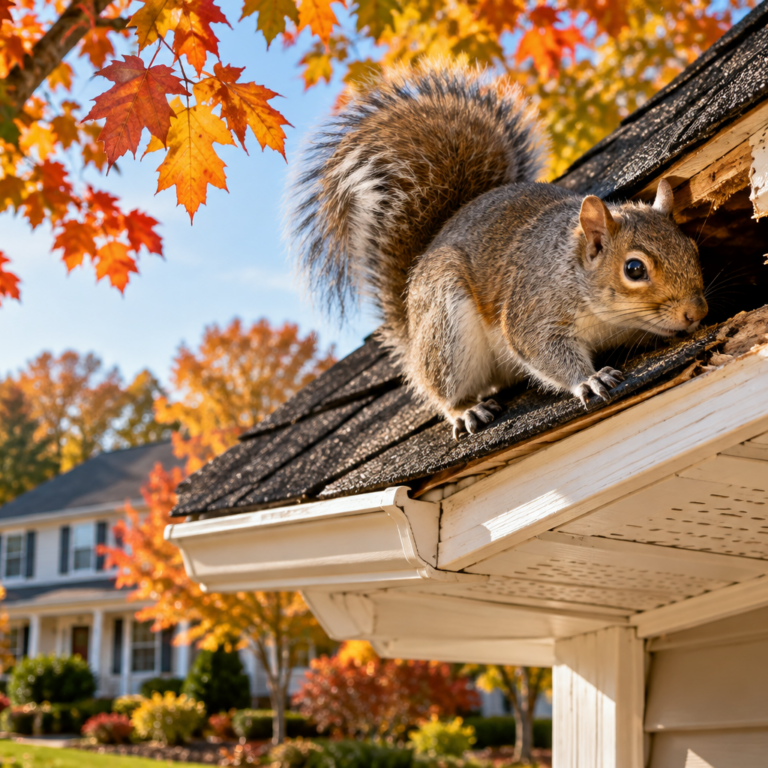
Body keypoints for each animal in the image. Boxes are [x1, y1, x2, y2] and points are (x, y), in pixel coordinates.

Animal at [288, 61, 709, 439]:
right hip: (446, 328)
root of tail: (411, 326)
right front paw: (589, 380)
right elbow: (541, 349)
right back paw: (465, 410)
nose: (696, 312)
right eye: (634, 269)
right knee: (440, 388)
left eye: (692, 247)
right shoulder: (533, 309)